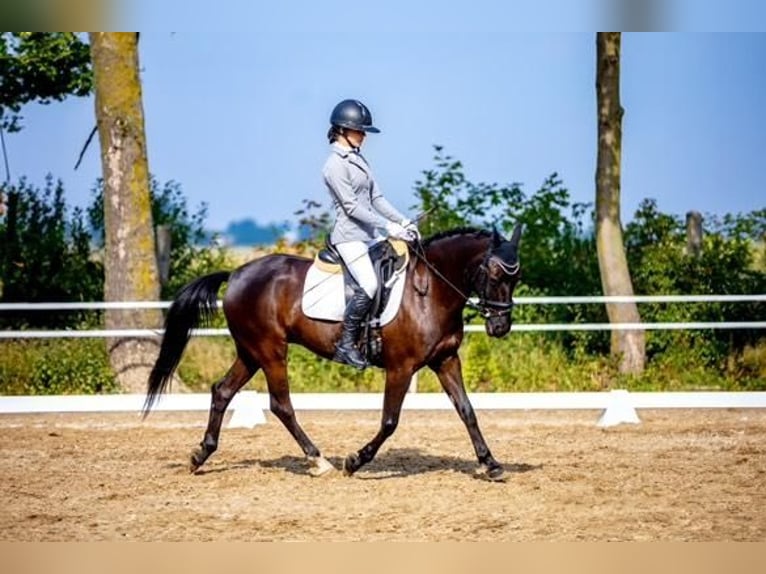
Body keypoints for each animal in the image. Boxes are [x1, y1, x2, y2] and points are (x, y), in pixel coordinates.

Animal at [144, 225, 524, 482]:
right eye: (493, 273)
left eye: (516, 277)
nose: (500, 326)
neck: (430, 291)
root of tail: (236, 273)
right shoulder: (401, 367)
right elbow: (390, 421)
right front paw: (355, 460)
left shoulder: (445, 361)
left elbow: (467, 411)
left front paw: (490, 464)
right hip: (270, 351)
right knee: (281, 405)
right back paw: (318, 460)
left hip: (250, 352)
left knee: (222, 391)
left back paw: (200, 455)